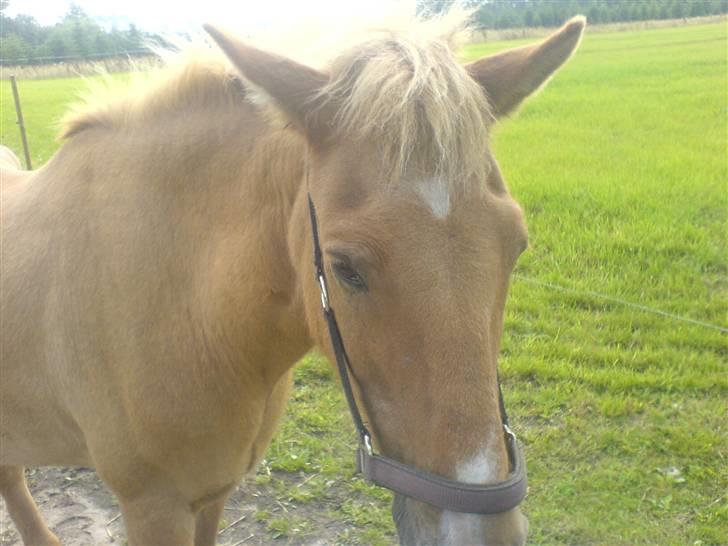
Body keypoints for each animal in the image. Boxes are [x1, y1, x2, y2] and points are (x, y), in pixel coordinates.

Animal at [0, 12, 584, 544]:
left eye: (516, 246)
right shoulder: (153, 507)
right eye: (345, 268)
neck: (181, 305)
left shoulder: (214, 491)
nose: (483, 533)